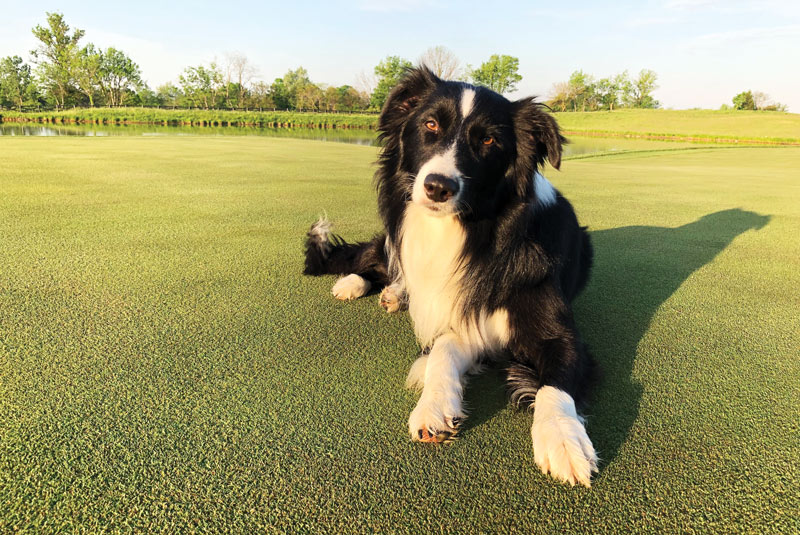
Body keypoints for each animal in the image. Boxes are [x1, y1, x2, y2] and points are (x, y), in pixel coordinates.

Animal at [304, 67, 596, 486]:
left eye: (488, 140)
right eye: (430, 124)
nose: (438, 187)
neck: (473, 234)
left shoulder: (558, 337)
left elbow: (554, 387)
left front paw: (563, 440)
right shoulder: (459, 316)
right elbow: (442, 349)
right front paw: (434, 405)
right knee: (380, 259)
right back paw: (360, 284)